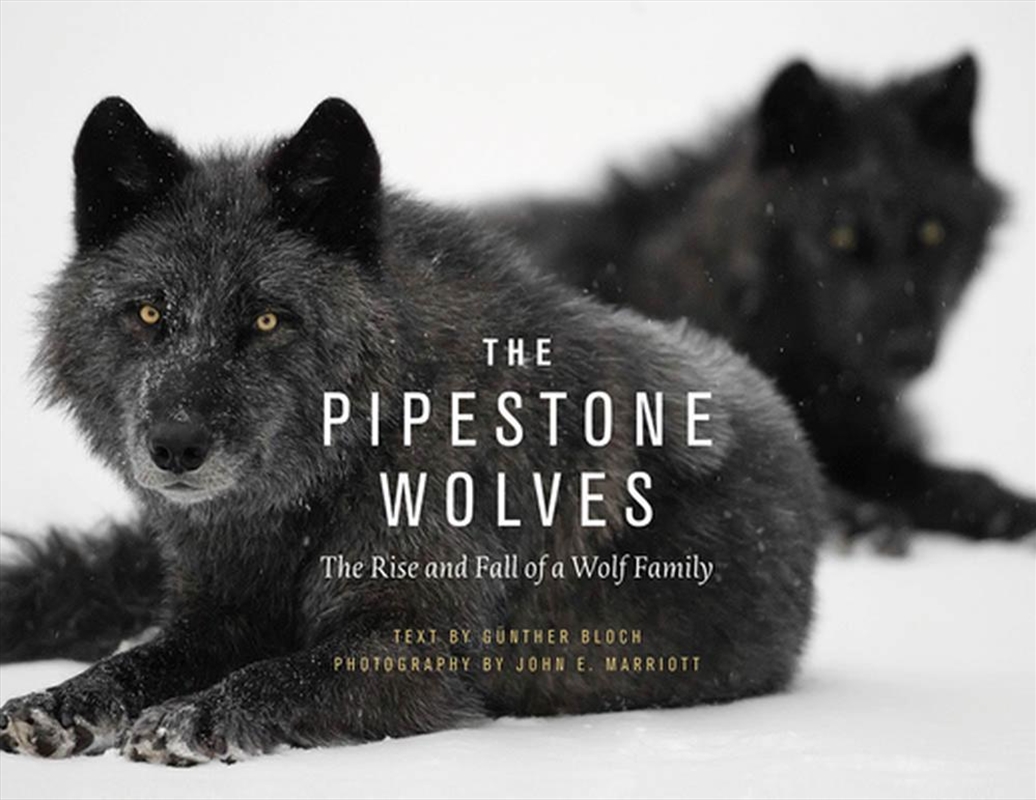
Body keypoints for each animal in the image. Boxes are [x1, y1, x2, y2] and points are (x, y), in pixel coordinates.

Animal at [0, 97, 822, 764]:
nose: (175, 446)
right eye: (148, 313)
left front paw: (191, 719)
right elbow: (139, 660)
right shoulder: (217, 615)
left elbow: (280, 675)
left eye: (266, 319)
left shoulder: (417, 649)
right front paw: (63, 701)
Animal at [486, 53, 1036, 547]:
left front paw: (999, 502)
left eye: (932, 232)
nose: (909, 349)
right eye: (839, 234)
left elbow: (930, 476)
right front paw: (855, 516)